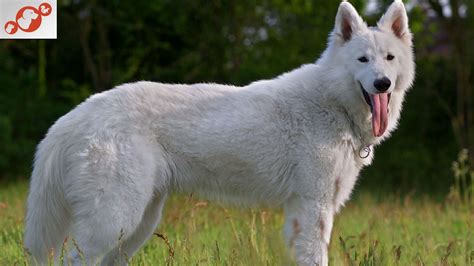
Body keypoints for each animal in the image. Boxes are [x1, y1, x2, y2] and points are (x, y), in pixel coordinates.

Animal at [24, 1, 412, 264]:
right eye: (362, 60)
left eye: (389, 58)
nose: (382, 83)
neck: (332, 103)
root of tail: (76, 115)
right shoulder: (312, 207)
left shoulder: (305, 210)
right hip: (115, 219)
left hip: (137, 223)